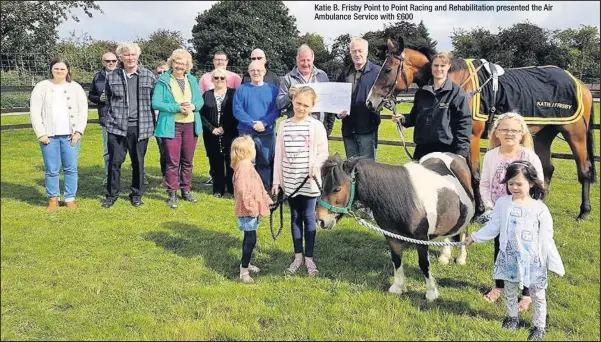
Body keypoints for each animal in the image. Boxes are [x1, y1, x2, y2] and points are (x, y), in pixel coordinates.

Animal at [316, 154, 476, 300]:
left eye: (337, 189)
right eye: (322, 186)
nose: (320, 220)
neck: (404, 199)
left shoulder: (421, 238)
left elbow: (424, 264)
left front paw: (431, 293)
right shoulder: (391, 236)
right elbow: (396, 260)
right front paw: (398, 287)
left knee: (463, 233)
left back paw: (461, 258)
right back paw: (445, 256)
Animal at [366, 36, 596, 220]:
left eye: (387, 70)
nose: (370, 102)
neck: (457, 82)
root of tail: (580, 84)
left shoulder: (472, 137)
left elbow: (474, 174)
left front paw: (479, 211)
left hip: (575, 133)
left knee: (584, 169)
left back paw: (584, 212)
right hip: (544, 133)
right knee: (547, 168)